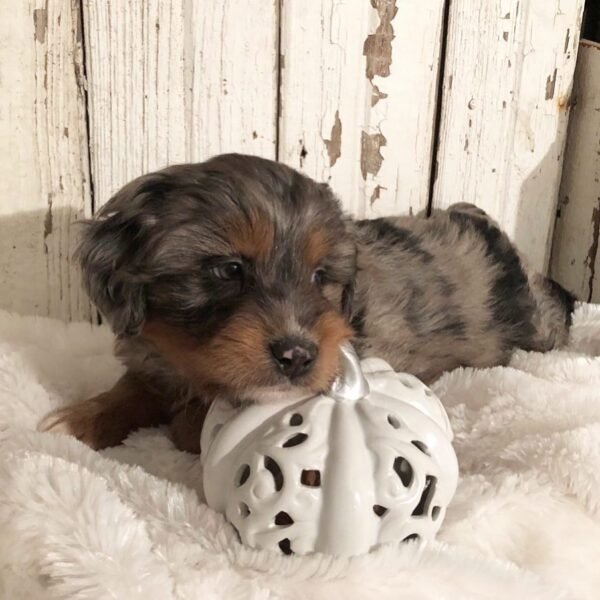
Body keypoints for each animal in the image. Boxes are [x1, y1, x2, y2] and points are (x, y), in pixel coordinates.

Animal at [39, 154, 576, 450]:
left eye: (321, 277)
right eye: (228, 270)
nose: (297, 356)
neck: (186, 362)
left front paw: (186, 421)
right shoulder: (151, 359)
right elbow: (130, 388)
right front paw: (79, 420)